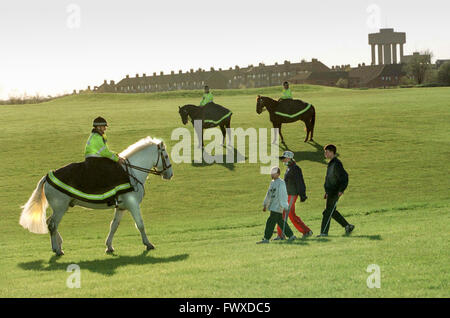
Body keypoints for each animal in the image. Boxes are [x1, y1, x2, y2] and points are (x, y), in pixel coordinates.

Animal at [18, 137, 172, 256]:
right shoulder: (133, 205)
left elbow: (114, 226)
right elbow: (140, 224)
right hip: (60, 209)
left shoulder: (121, 208)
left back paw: (59, 245)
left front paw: (109, 246)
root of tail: (48, 176)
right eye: (165, 156)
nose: (170, 174)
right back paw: (57, 249)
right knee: (52, 224)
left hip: (61, 208)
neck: (131, 172)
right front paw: (148, 244)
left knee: (50, 223)